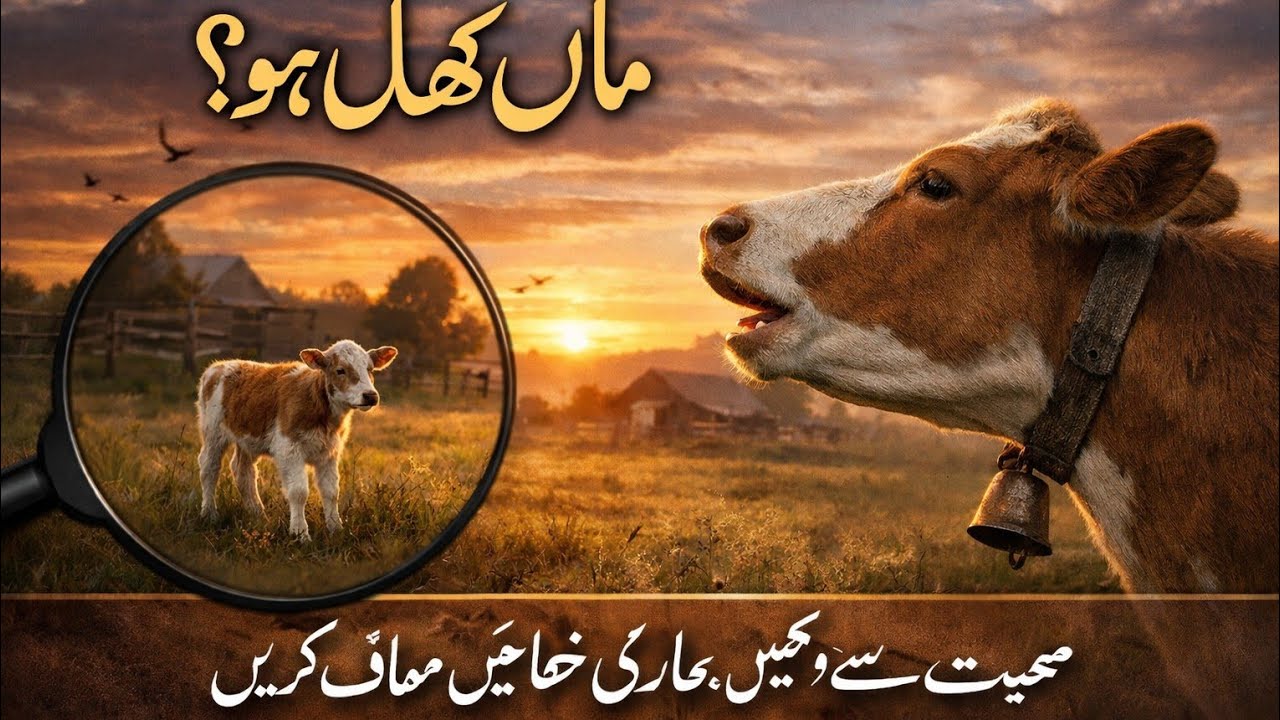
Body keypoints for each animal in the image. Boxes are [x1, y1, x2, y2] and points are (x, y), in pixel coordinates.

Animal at [195, 339, 398, 540]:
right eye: (340, 370)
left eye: (370, 369)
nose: (370, 395)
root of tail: (219, 365)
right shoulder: (289, 448)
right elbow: (299, 492)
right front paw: (300, 533)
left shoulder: (329, 451)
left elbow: (331, 491)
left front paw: (336, 529)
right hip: (213, 431)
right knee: (209, 467)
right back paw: (209, 514)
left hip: (247, 438)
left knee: (243, 471)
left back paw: (258, 514)